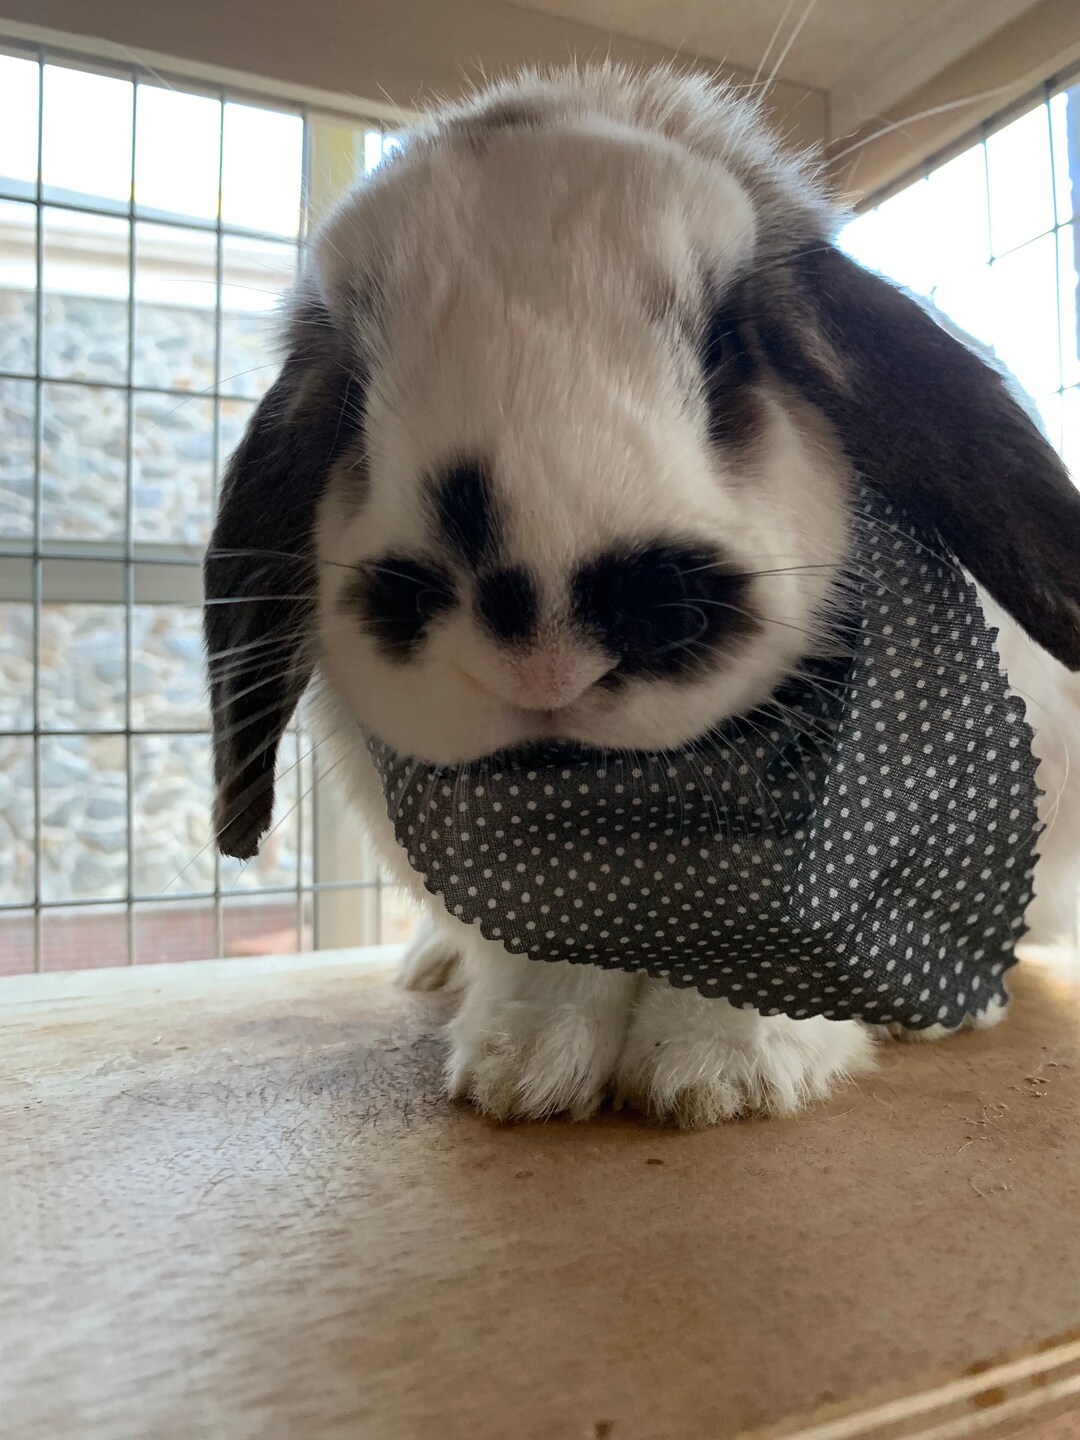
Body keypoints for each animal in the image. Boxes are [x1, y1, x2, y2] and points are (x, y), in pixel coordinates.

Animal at [204, 65, 1080, 1127]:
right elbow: (545, 958)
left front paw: (722, 1077)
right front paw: (523, 1069)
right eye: (351, 399)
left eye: (730, 347)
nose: (543, 648)